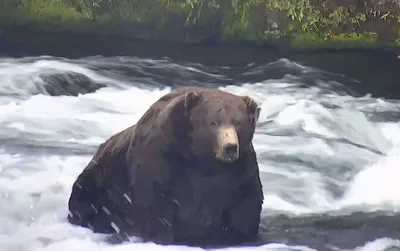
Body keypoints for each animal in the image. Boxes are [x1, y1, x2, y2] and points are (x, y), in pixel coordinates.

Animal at [67, 87, 264, 247]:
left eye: (237, 122)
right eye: (213, 122)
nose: (230, 146)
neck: (202, 158)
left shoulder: (238, 171)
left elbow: (245, 206)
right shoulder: (162, 159)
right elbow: (155, 204)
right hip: (98, 181)